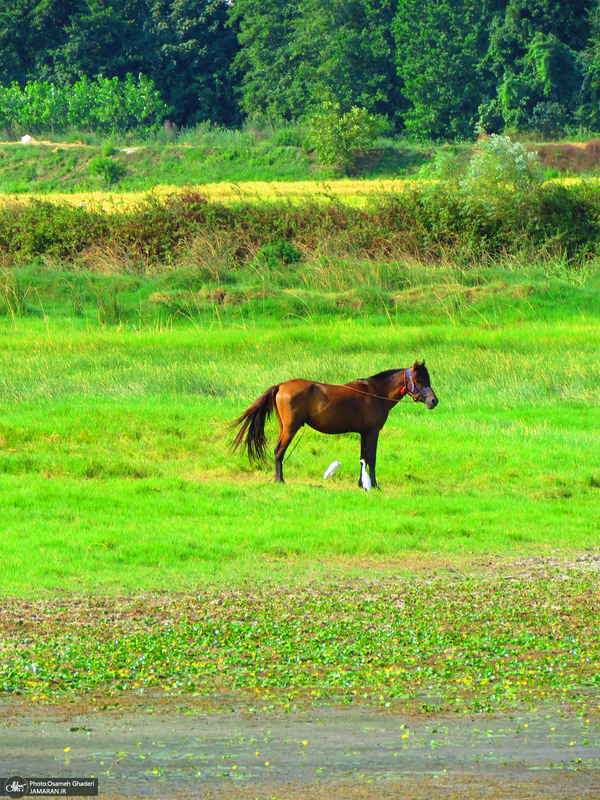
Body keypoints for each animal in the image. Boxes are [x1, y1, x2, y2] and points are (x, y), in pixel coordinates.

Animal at [232, 362, 438, 488]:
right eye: (418, 380)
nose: (433, 401)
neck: (375, 393)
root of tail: (281, 385)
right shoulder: (372, 432)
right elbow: (371, 459)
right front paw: (374, 485)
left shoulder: (363, 434)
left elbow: (363, 458)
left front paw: (361, 484)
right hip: (291, 428)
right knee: (279, 451)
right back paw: (279, 480)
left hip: (284, 427)